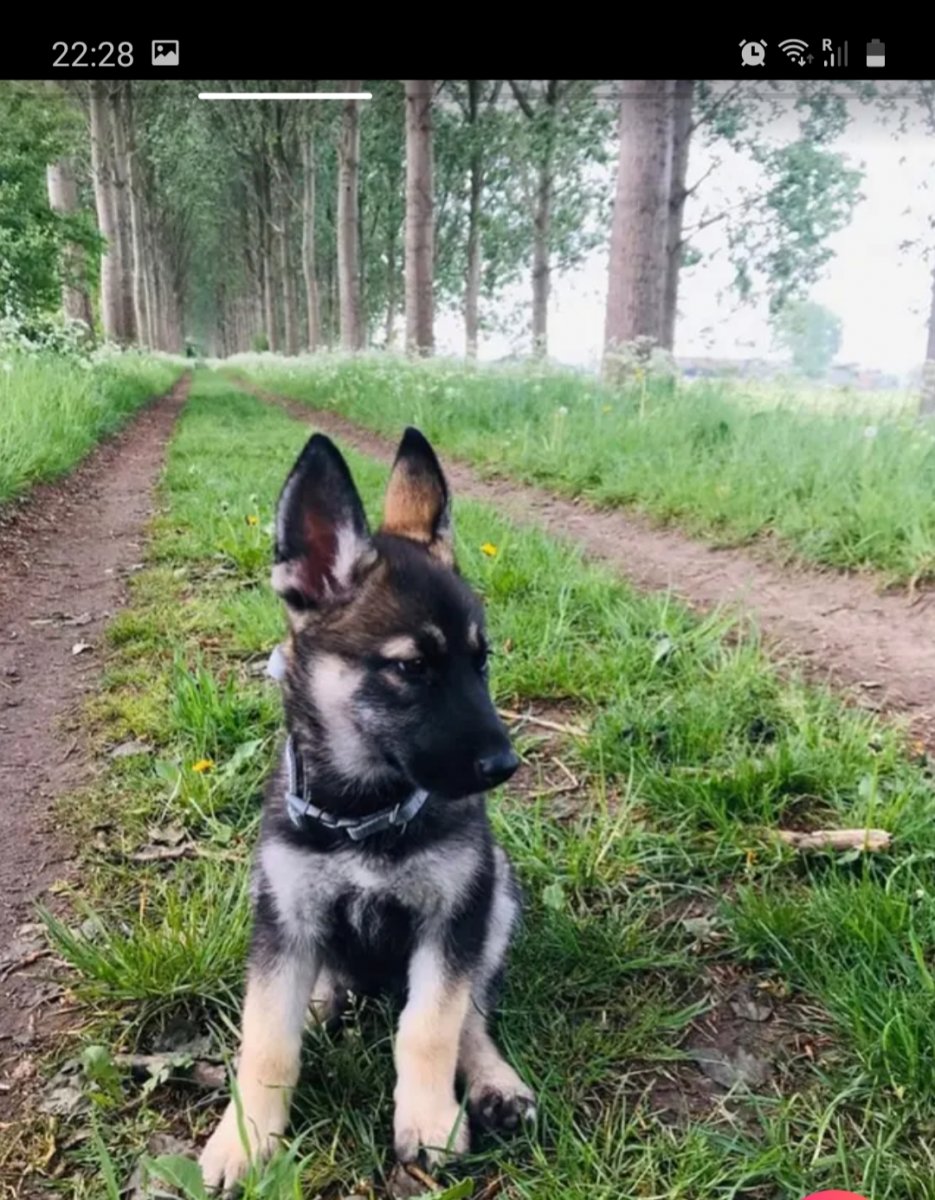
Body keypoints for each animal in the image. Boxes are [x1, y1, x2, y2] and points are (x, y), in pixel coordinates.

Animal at [199, 427, 535, 1192]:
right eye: (411, 668)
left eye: (481, 661)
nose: (503, 767)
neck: (363, 814)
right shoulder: (284, 923)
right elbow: (266, 1040)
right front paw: (244, 1138)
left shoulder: (451, 919)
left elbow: (432, 1024)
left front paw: (429, 1121)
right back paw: (322, 1005)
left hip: (496, 895)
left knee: (472, 1013)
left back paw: (494, 1084)